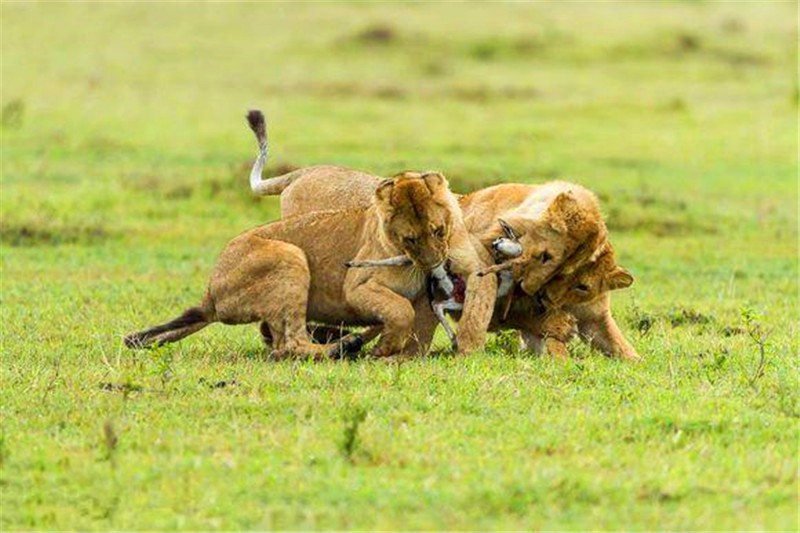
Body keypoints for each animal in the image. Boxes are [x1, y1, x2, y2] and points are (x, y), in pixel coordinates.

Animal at [125, 171, 494, 358]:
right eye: (410, 239)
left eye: (438, 230)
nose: (436, 265)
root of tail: (210, 296)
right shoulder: (356, 286)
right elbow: (399, 311)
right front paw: (384, 348)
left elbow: (417, 323)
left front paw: (399, 353)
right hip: (289, 256)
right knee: (289, 344)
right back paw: (344, 346)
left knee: (282, 342)